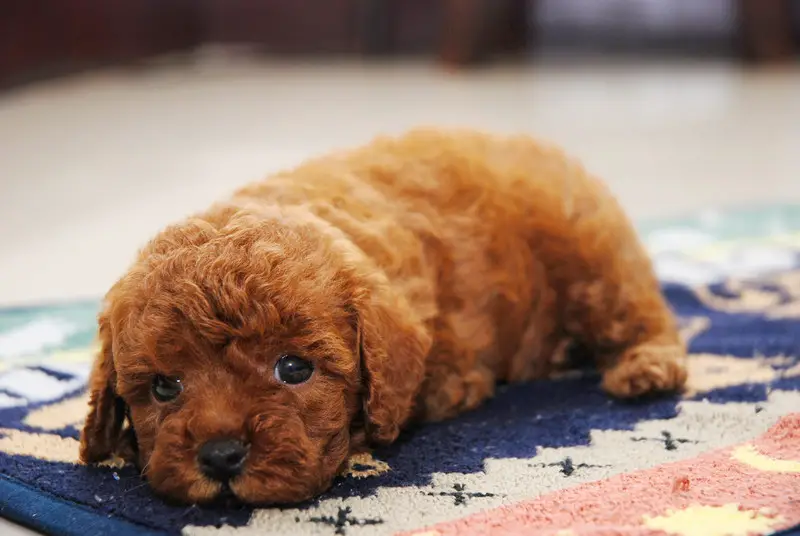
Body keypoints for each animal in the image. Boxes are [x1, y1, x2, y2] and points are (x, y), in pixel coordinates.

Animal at [79, 127, 688, 504]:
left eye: (294, 369)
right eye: (163, 387)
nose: (221, 456)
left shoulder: (448, 376)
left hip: (592, 255)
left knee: (638, 308)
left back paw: (648, 366)